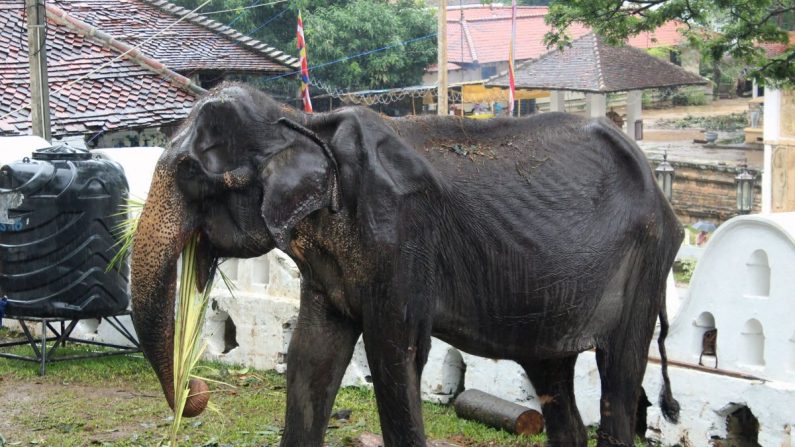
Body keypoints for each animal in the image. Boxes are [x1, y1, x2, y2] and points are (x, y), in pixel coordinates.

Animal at [131, 84, 684, 447]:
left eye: (190, 173)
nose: (198, 389)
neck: (303, 124)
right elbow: (310, 357)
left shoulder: (400, 240)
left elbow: (396, 359)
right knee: (553, 380)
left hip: (645, 263)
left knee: (619, 375)